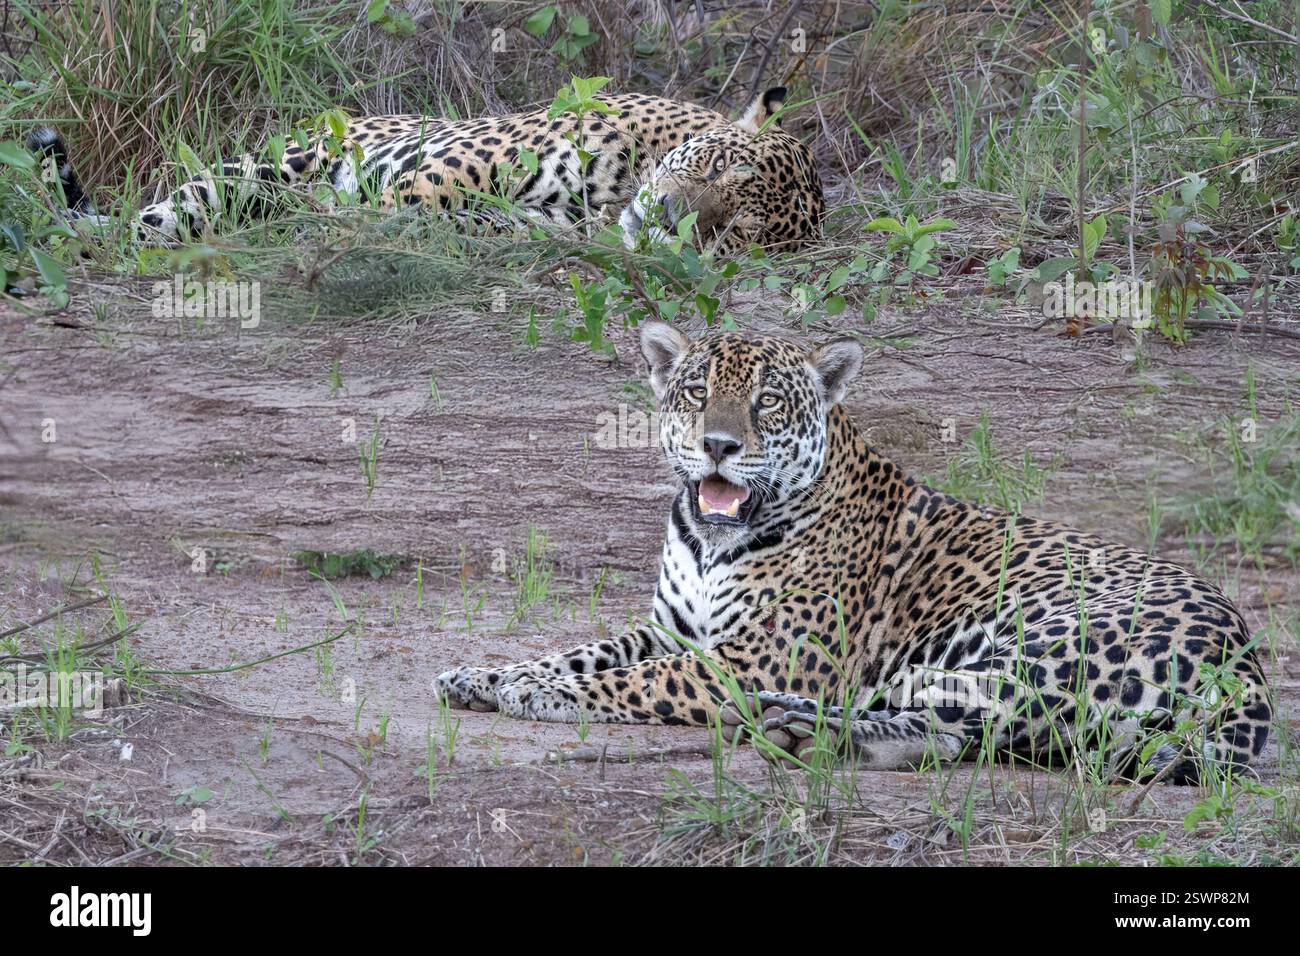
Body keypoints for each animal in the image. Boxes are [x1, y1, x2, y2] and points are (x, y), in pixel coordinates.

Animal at [433, 322, 1272, 782]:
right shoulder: (672, 629)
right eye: (697, 392)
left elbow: (630, 681)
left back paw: (800, 725)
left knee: (963, 718)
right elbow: (583, 651)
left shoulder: (752, 658)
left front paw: (536, 693)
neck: (710, 543)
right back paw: (801, 731)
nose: (718, 444)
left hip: (1024, 649)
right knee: (951, 732)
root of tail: (1252, 678)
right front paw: (486, 673)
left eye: (769, 402)